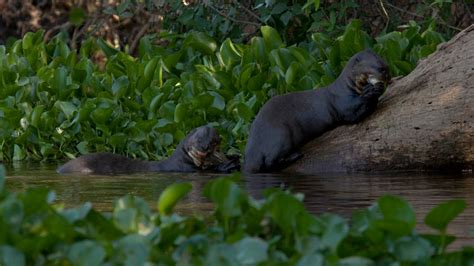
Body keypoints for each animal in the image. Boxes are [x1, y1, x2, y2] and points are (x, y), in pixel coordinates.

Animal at [243, 49, 390, 175]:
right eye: (378, 68)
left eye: (385, 65)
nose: (386, 72)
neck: (348, 88)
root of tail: (252, 148)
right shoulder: (343, 105)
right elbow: (354, 114)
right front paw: (370, 91)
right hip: (281, 134)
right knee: (269, 161)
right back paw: (296, 155)